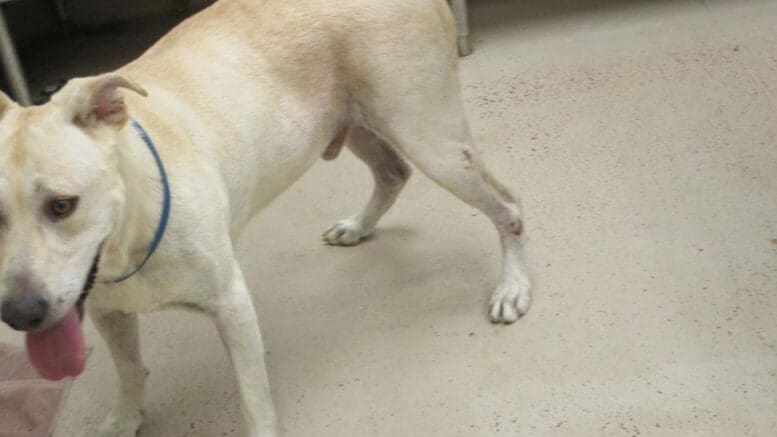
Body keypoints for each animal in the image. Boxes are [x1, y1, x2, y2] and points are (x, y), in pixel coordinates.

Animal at [0, 1, 532, 434]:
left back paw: (513, 286)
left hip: (432, 140)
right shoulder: (107, 312)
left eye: (62, 205)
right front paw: (125, 420)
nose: (20, 315)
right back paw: (359, 226)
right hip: (353, 125)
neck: (127, 236)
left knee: (507, 207)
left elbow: (253, 399)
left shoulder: (232, 306)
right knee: (392, 172)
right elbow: (130, 371)